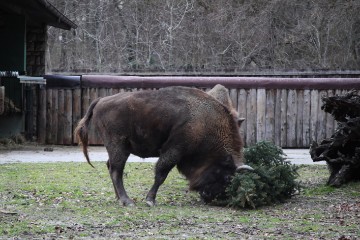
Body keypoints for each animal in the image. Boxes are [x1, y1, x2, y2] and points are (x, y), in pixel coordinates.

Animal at [74, 86, 252, 206]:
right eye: (227, 177)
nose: (209, 197)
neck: (206, 122)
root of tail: (101, 100)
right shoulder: (174, 150)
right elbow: (161, 173)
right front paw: (150, 200)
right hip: (119, 146)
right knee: (116, 170)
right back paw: (127, 201)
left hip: (118, 149)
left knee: (111, 167)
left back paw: (119, 198)